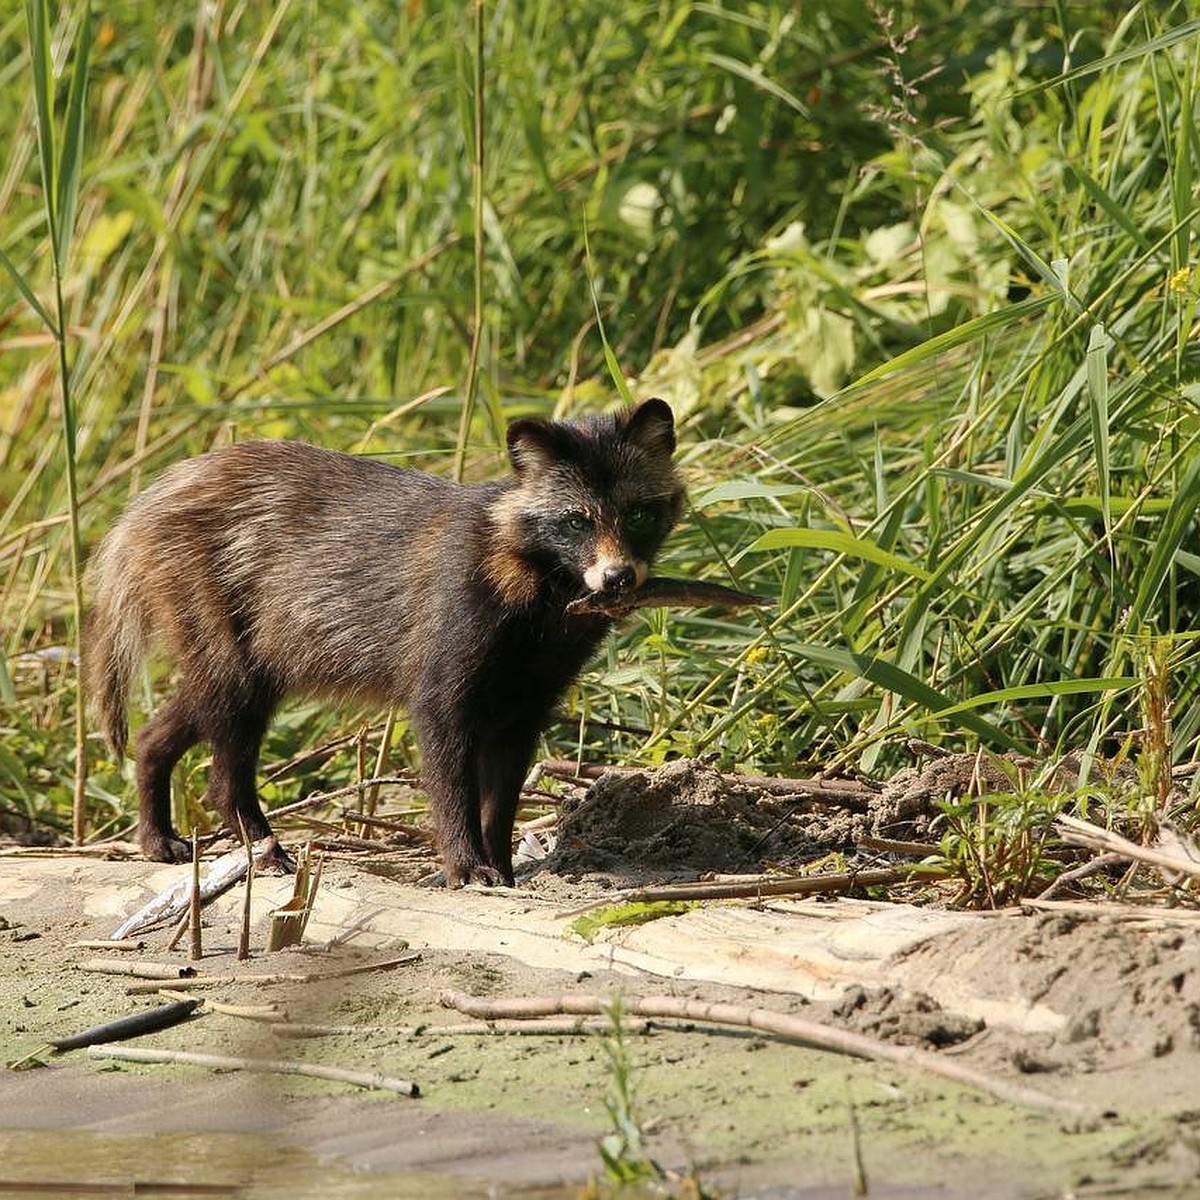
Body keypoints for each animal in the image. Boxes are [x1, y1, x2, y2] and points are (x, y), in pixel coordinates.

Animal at [87, 400, 686, 883]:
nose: (617, 578)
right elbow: (451, 784)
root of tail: (151, 496)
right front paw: (466, 866)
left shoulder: (528, 699)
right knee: (223, 774)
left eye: (639, 513)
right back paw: (263, 848)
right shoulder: (446, 669)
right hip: (226, 643)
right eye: (576, 520)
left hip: (252, 658)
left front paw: (502, 867)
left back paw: (156, 836)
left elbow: (502, 799)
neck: (544, 592)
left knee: (154, 735)